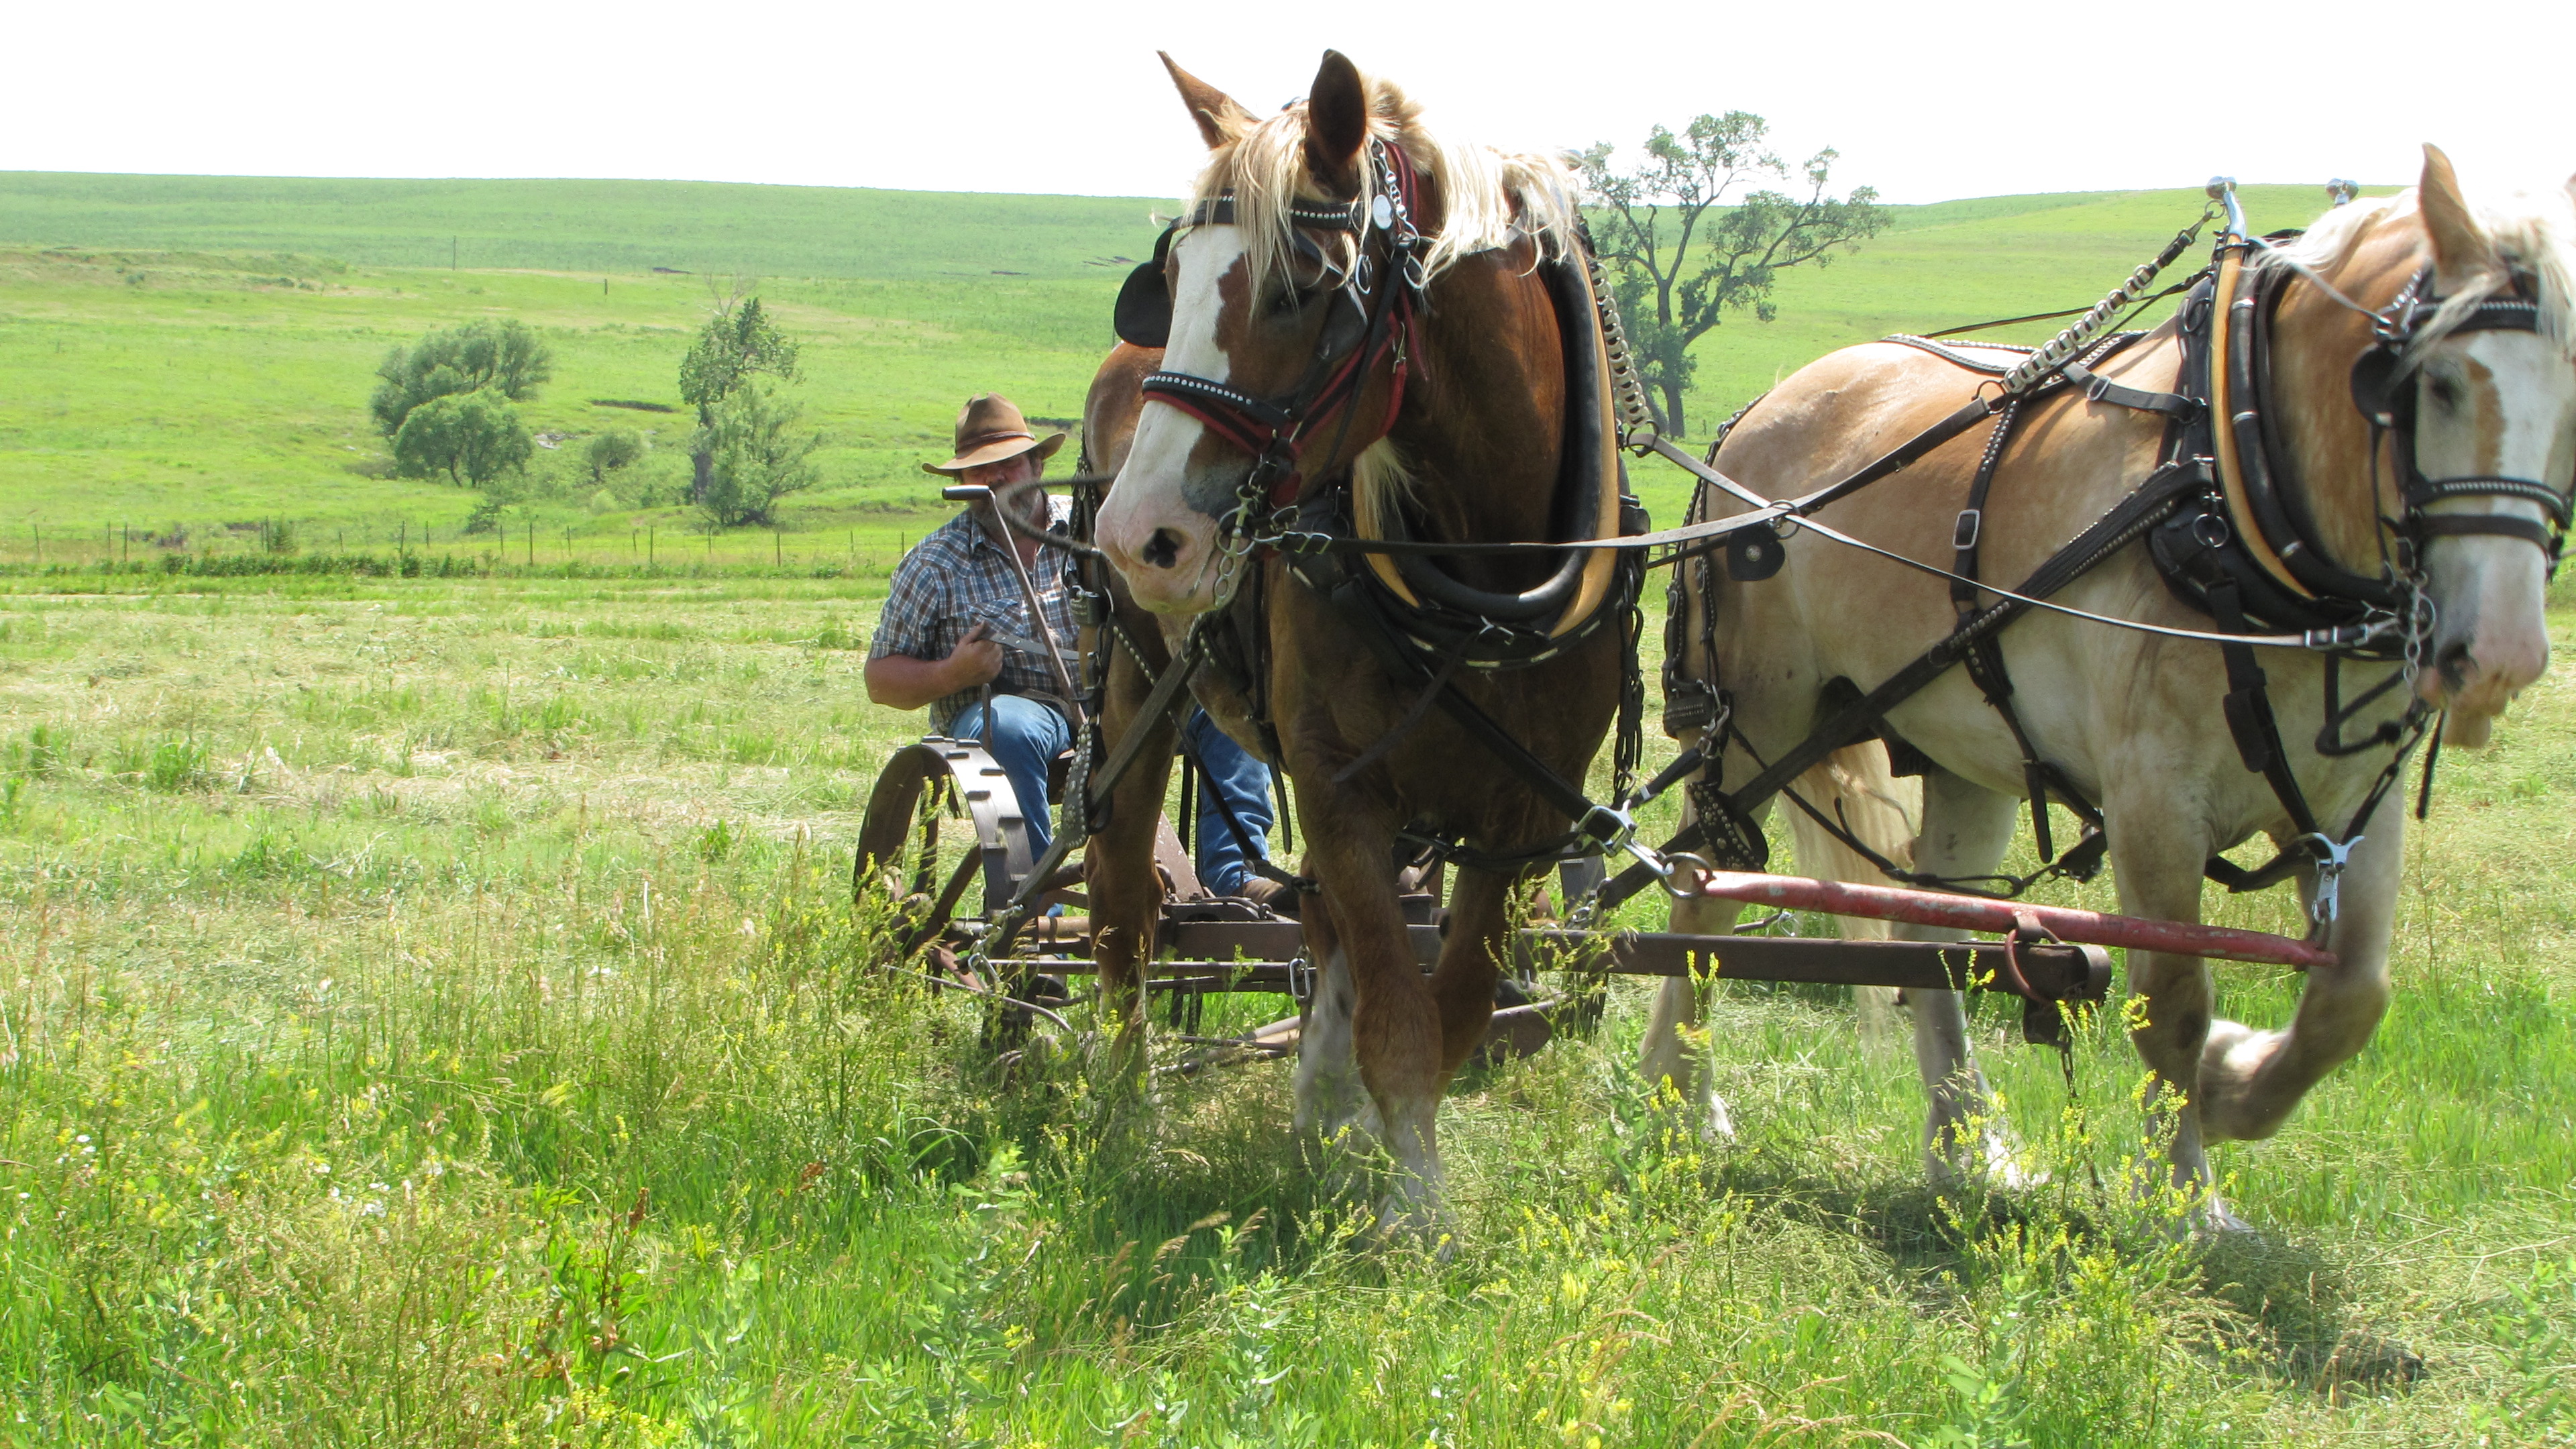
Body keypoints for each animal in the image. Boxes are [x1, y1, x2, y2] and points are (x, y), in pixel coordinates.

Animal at [1087, 50, 1627, 1217]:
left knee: (1318, 926)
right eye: (1174, 277)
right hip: (1135, 687)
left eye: (1301, 285)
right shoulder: (1344, 787)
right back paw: (1126, 1106)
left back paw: (1319, 1109)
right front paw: (1415, 1211)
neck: (1483, 581)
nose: (1138, 533)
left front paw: (1382, 1160)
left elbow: (1452, 1006)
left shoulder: (1522, 817)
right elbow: (1398, 1015)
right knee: (1120, 904)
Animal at [1648, 152, 2576, 1222]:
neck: (2239, 499)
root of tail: (1758, 414)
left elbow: (2351, 999)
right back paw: (1683, 1098)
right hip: (1758, 722)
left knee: (1932, 924)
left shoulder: (2350, 812)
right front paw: (2186, 1194)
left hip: (1962, 746)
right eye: (2432, 383)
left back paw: (1966, 1142)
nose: (2499, 655)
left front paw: (2233, 1086)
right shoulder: (2153, 804)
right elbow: (2172, 1002)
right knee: (1703, 894)